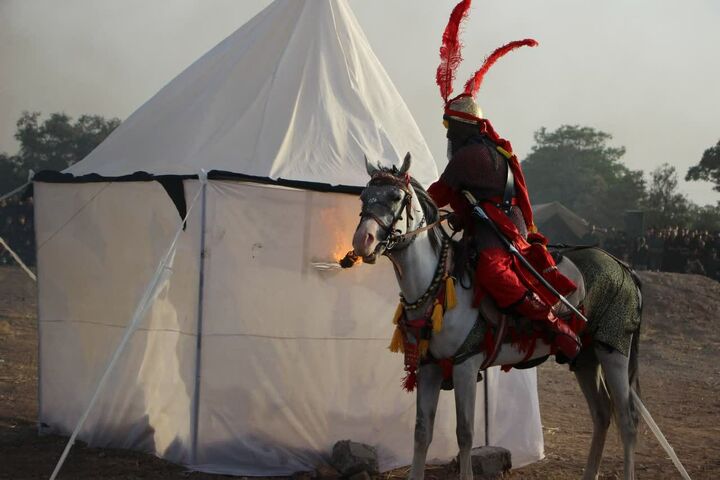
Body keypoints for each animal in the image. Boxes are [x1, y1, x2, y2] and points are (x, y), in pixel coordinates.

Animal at [352, 155, 640, 480]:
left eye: (395, 197)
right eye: (363, 196)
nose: (363, 240)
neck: (438, 285)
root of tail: (623, 266)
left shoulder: (465, 365)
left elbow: (465, 434)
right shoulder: (430, 367)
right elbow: (422, 431)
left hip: (613, 351)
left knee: (627, 421)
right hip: (585, 358)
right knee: (602, 415)